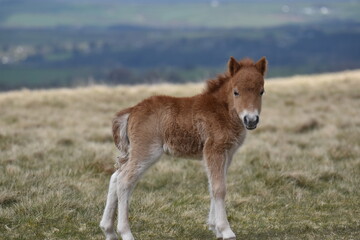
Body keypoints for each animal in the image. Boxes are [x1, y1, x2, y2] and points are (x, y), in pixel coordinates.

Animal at [100, 56, 266, 240]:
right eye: (236, 92)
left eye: (261, 91)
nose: (251, 120)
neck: (222, 111)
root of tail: (132, 110)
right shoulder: (214, 150)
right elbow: (219, 188)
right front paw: (226, 230)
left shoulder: (227, 153)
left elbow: (213, 185)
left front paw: (214, 227)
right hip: (146, 151)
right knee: (124, 181)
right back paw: (126, 232)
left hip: (134, 152)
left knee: (116, 176)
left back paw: (108, 230)